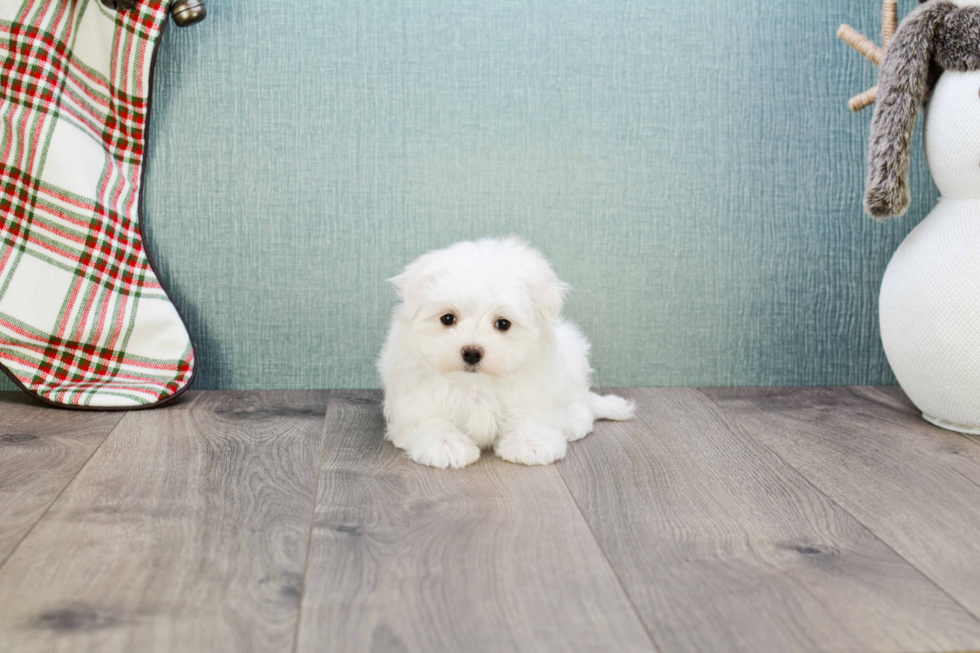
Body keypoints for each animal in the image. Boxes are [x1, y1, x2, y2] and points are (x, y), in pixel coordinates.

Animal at [376, 237, 636, 466]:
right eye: (447, 318)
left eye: (503, 323)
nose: (472, 352)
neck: (477, 385)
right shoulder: (418, 394)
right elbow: (430, 419)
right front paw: (445, 445)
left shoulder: (535, 387)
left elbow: (531, 414)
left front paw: (531, 443)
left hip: (573, 356)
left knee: (580, 401)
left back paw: (572, 420)